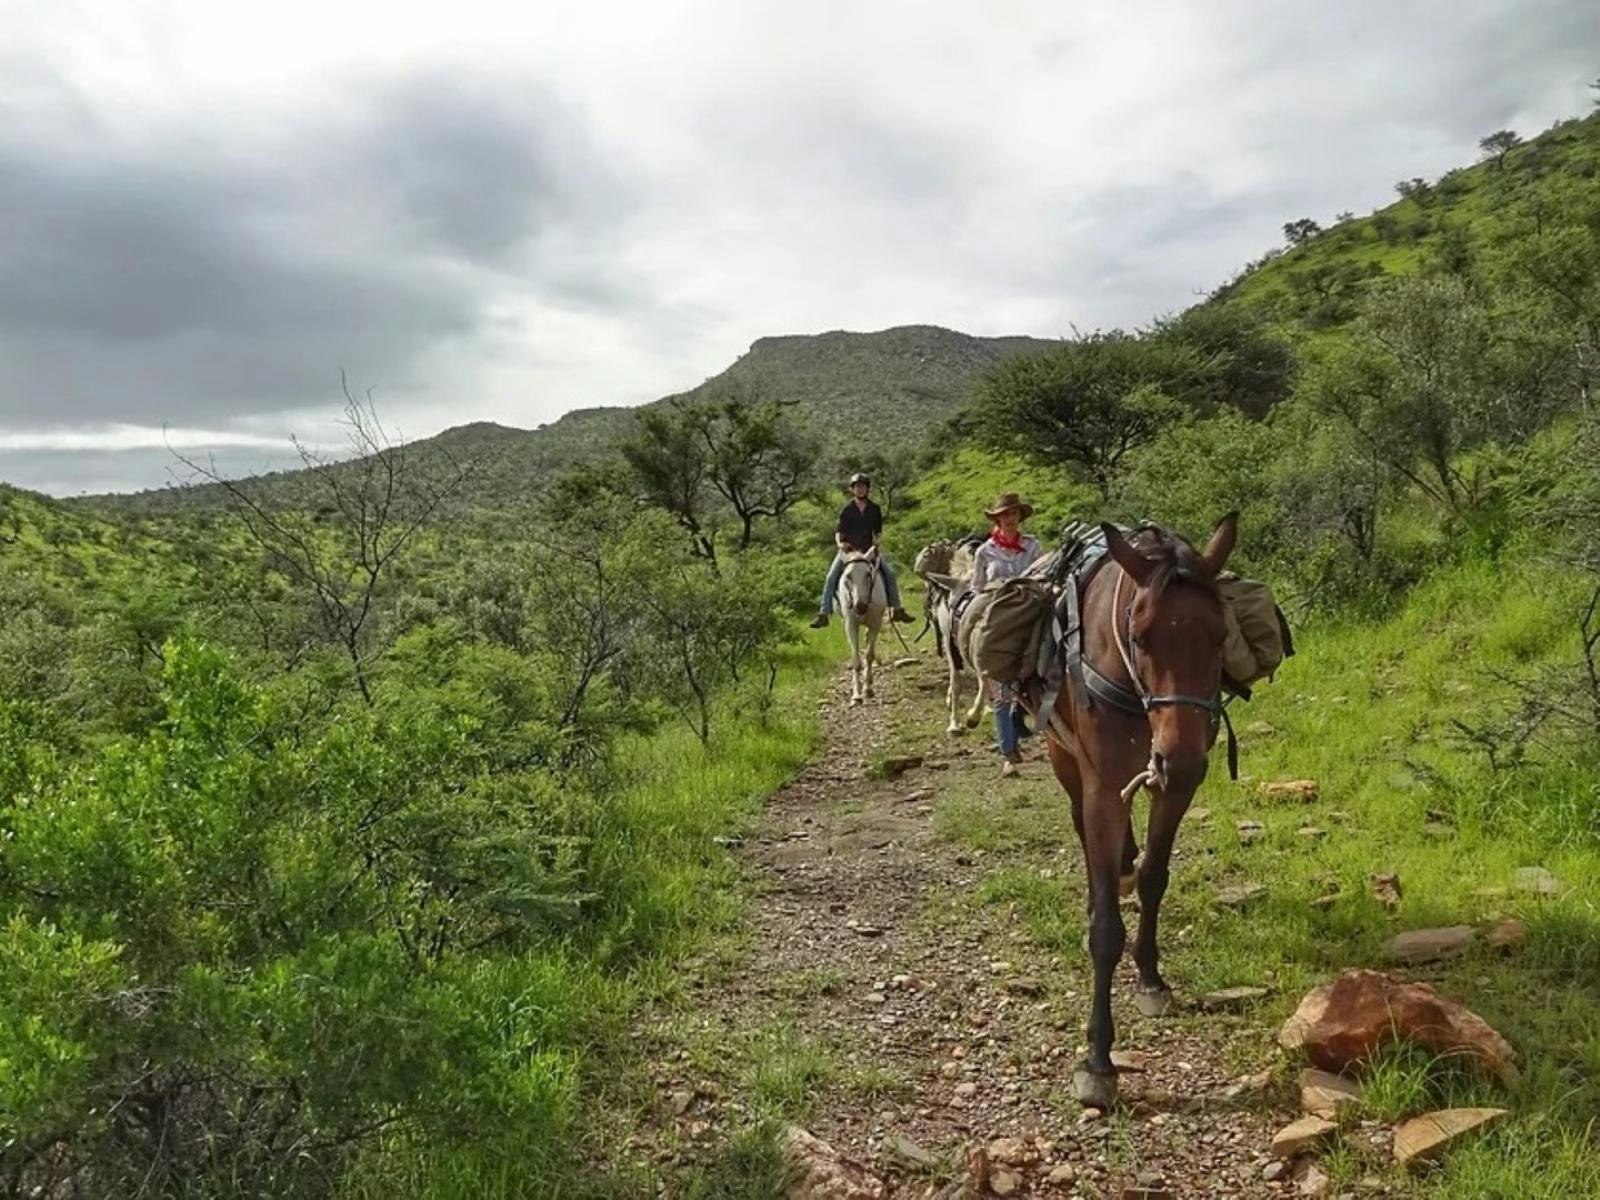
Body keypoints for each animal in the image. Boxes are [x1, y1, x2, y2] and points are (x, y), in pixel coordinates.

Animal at [837, 547, 887, 705]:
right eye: (848, 576)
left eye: (868, 574)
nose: (860, 606)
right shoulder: (850, 625)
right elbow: (856, 660)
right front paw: (857, 695)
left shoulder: (876, 623)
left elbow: (869, 655)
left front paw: (867, 689)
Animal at [1039, 516, 1237, 1110]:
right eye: (1141, 636)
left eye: (1221, 636)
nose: (1182, 758)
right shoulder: (1102, 786)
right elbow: (1106, 928)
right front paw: (1098, 1060)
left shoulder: (1174, 788)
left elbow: (1153, 875)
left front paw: (1150, 976)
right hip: (1066, 763)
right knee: (1084, 835)